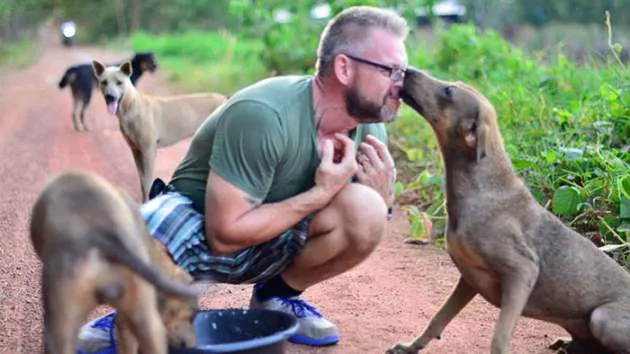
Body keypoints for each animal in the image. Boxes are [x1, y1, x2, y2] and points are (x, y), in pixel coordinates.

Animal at [89, 59, 227, 201]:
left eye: (119, 82)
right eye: (104, 82)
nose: (110, 97)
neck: (131, 106)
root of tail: (225, 98)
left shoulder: (149, 150)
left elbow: (148, 182)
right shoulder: (136, 150)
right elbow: (142, 182)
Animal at [390, 67, 630, 354]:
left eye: (448, 91)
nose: (407, 70)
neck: (480, 184)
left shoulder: (522, 271)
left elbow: (499, 338)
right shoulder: (469, 278)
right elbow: (438, 319)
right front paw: (409, 347)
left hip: (602, 318)